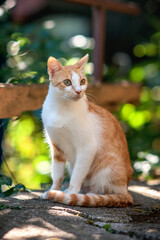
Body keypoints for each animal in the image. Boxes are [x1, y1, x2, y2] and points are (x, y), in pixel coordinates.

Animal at [40, 54, 134, 206]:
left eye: (82, 81)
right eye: (67, 82)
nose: (79, 91)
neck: (61, 108)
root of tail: (125, 190)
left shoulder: (87, 147)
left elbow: (76, 177)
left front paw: (70, 195)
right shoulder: (57, 147)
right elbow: (57, 175)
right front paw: (54, 190)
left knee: (104, 193)